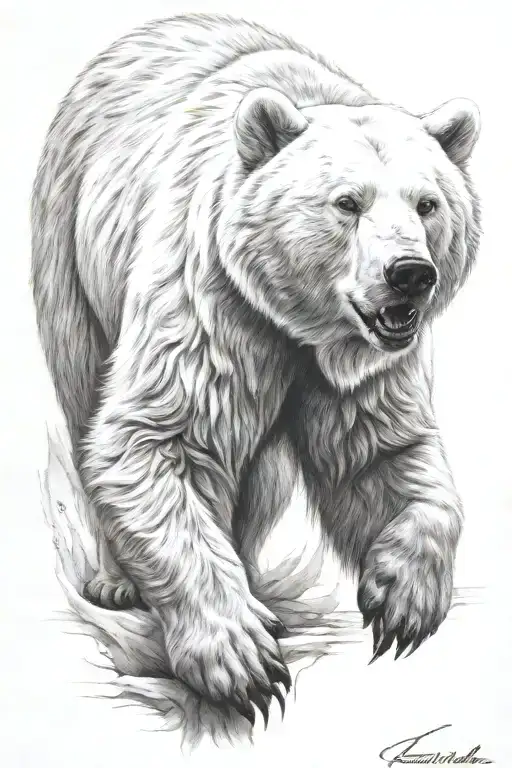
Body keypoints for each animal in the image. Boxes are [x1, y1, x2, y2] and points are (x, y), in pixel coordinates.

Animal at [31, 12, 481, 724]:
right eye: (347, 202)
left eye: (428, 203)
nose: (410, 274)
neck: (300, 323)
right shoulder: (211, 300)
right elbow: (154, 440)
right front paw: (239, 657)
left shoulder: (358, 368)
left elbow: (384, 454)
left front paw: (403, 598)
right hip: (71, 251)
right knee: (83, 395)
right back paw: (116, 580)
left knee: (264, 475)